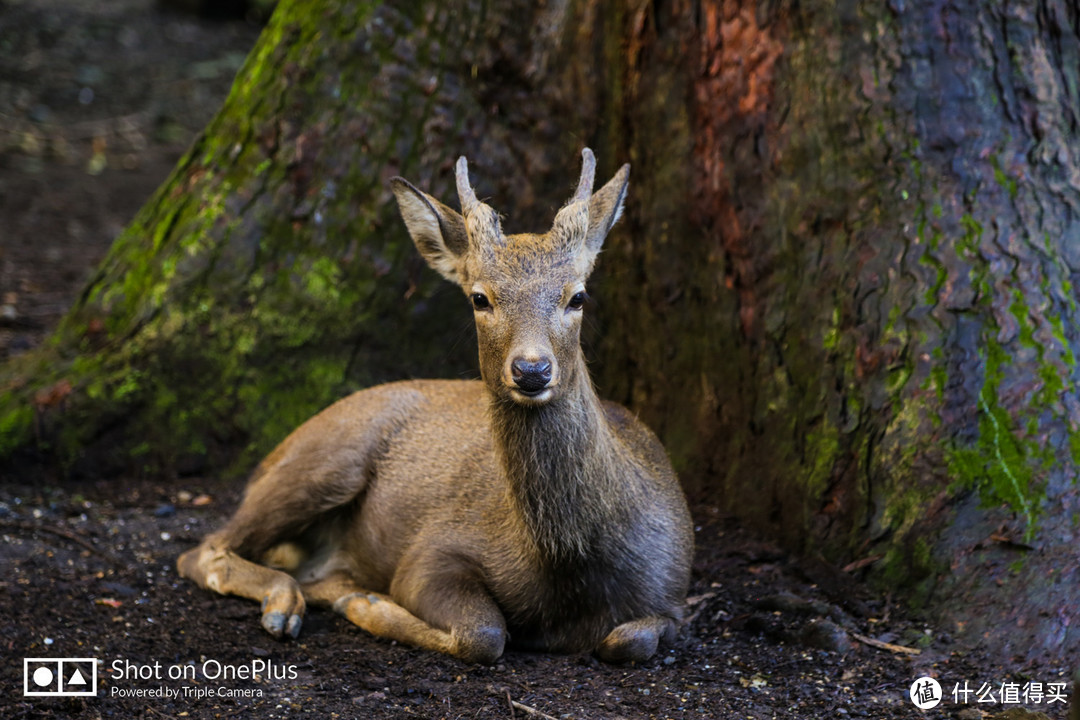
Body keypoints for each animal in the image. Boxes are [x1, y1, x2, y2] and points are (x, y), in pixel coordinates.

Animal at [177, 151, 691, 664]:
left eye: (578, 295)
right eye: (480, 297)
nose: (532, 369)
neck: (569, 570)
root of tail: (270, 457)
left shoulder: (675, 592)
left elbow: (631, 638)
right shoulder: (433, 550)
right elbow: (483, 633)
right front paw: (368, 605)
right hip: (325, 461)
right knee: (204, 550)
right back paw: (289, 605)